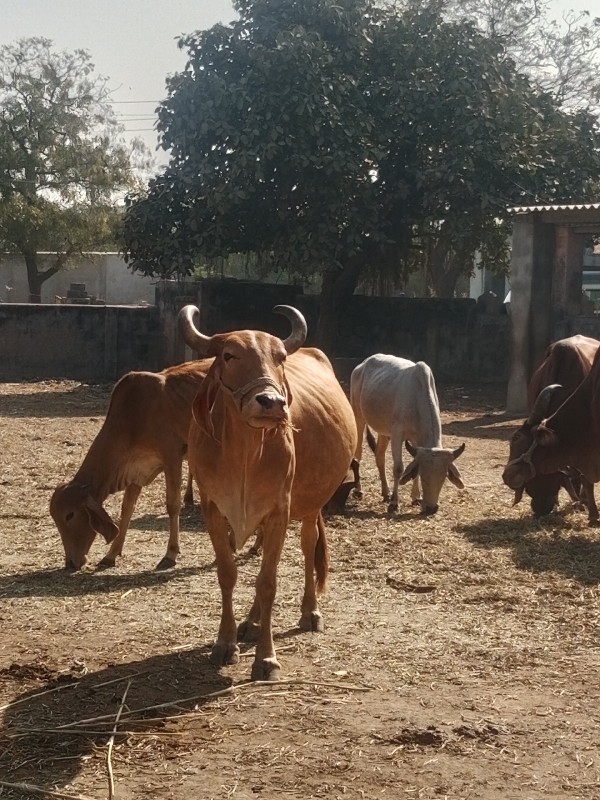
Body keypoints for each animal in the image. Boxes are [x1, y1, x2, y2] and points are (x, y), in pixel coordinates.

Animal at [50, 360, 212, 572]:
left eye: (70, 515)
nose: (70, 562)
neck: (134, 417)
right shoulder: (136, 470)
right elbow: (127, 508)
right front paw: (111, 554)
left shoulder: (172, 457)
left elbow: (173, 505)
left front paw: (170, 554)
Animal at [178, 304, 356, 680]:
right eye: (229, 355)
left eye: (280, 357)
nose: (272, 402)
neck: (244, 457)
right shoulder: (213, 510)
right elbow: (228, 573)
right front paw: (226, 643)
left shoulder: (279, 512)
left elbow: (267, 582)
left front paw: (266, 658)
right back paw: (252, 622)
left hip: (311, 506)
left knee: (308, 546)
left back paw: (309, 613)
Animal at [350, 354, 466, 516]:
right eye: (425, 477)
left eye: (444, 477)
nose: (431, 508)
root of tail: (361, 365)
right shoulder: (397, 434)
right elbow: (398, 468)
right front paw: (394, 503)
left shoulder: (416, 440)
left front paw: (416, 497)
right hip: (358, 417)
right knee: (358, 453)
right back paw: (359, 490)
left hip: (383, 430)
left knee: (379, 456)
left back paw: (385, 492)